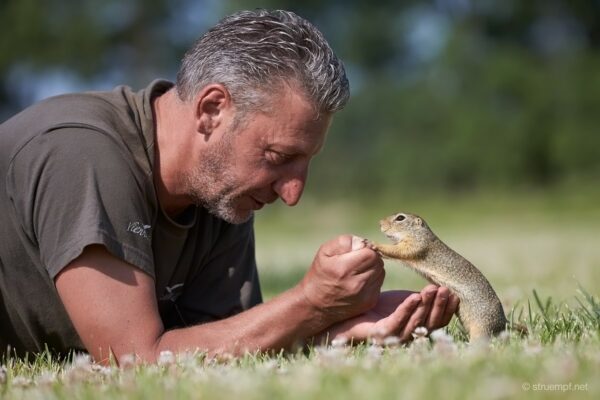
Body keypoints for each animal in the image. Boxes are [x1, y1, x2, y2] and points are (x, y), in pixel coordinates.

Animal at [366, 212, 516, 340]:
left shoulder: (416, 244)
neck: (420, 233)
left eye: (400, 218)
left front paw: (373, 243)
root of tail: (504, 322)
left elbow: (398, 250)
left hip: (482, 326)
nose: (379, 223)